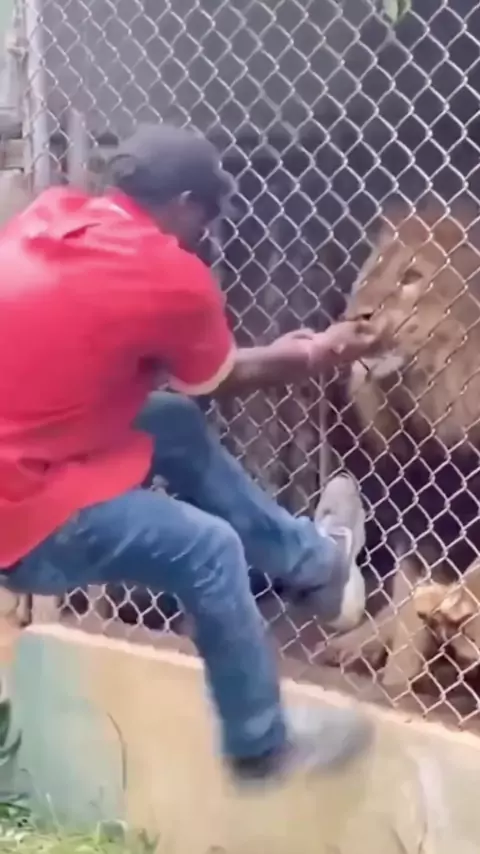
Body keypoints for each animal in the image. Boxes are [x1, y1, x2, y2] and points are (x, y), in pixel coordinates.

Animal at [318, 196, 480, 700]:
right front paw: (396, 688)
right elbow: (407, 611)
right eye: (371, 272)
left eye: (413, 277)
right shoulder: (418, 508)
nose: (358, 317)